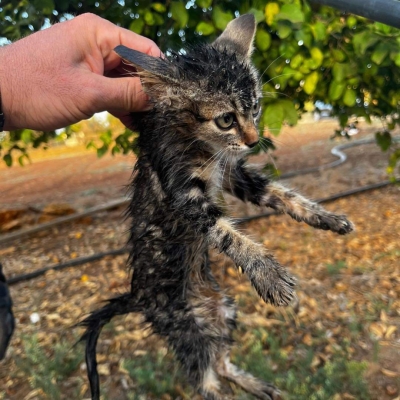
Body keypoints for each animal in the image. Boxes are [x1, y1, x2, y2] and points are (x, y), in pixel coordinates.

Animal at [81, 14, 354, 400]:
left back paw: (259, 386)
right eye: (225, 120)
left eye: (255, 109)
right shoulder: (185, 196)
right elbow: (226, 233)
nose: (254, 141)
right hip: (187, 330)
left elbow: (279, 193)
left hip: (223, 311)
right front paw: (269, 274)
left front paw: (327, 217)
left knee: (222, 363)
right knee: (205, 380)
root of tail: (138, 296)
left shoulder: (230, 173)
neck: (199, 144)